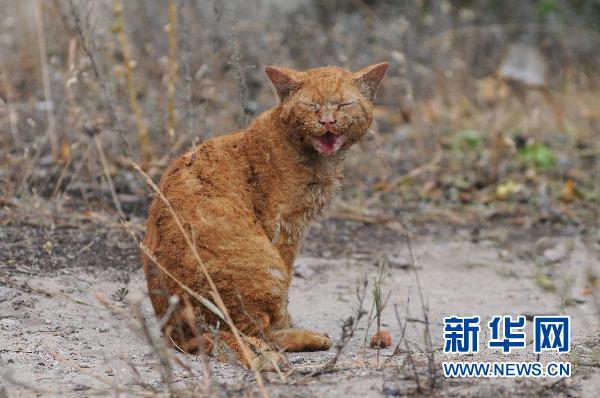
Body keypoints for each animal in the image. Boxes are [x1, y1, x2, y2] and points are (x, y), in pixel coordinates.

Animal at [144, 62, 390, 370]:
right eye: (310, 106)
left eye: (343, 105)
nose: (327, 122)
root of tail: (179, 333)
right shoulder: (285, 228)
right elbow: (284, 301)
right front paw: (290, 324)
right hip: (265, 270)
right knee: (252, 332)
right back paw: (302, 342)